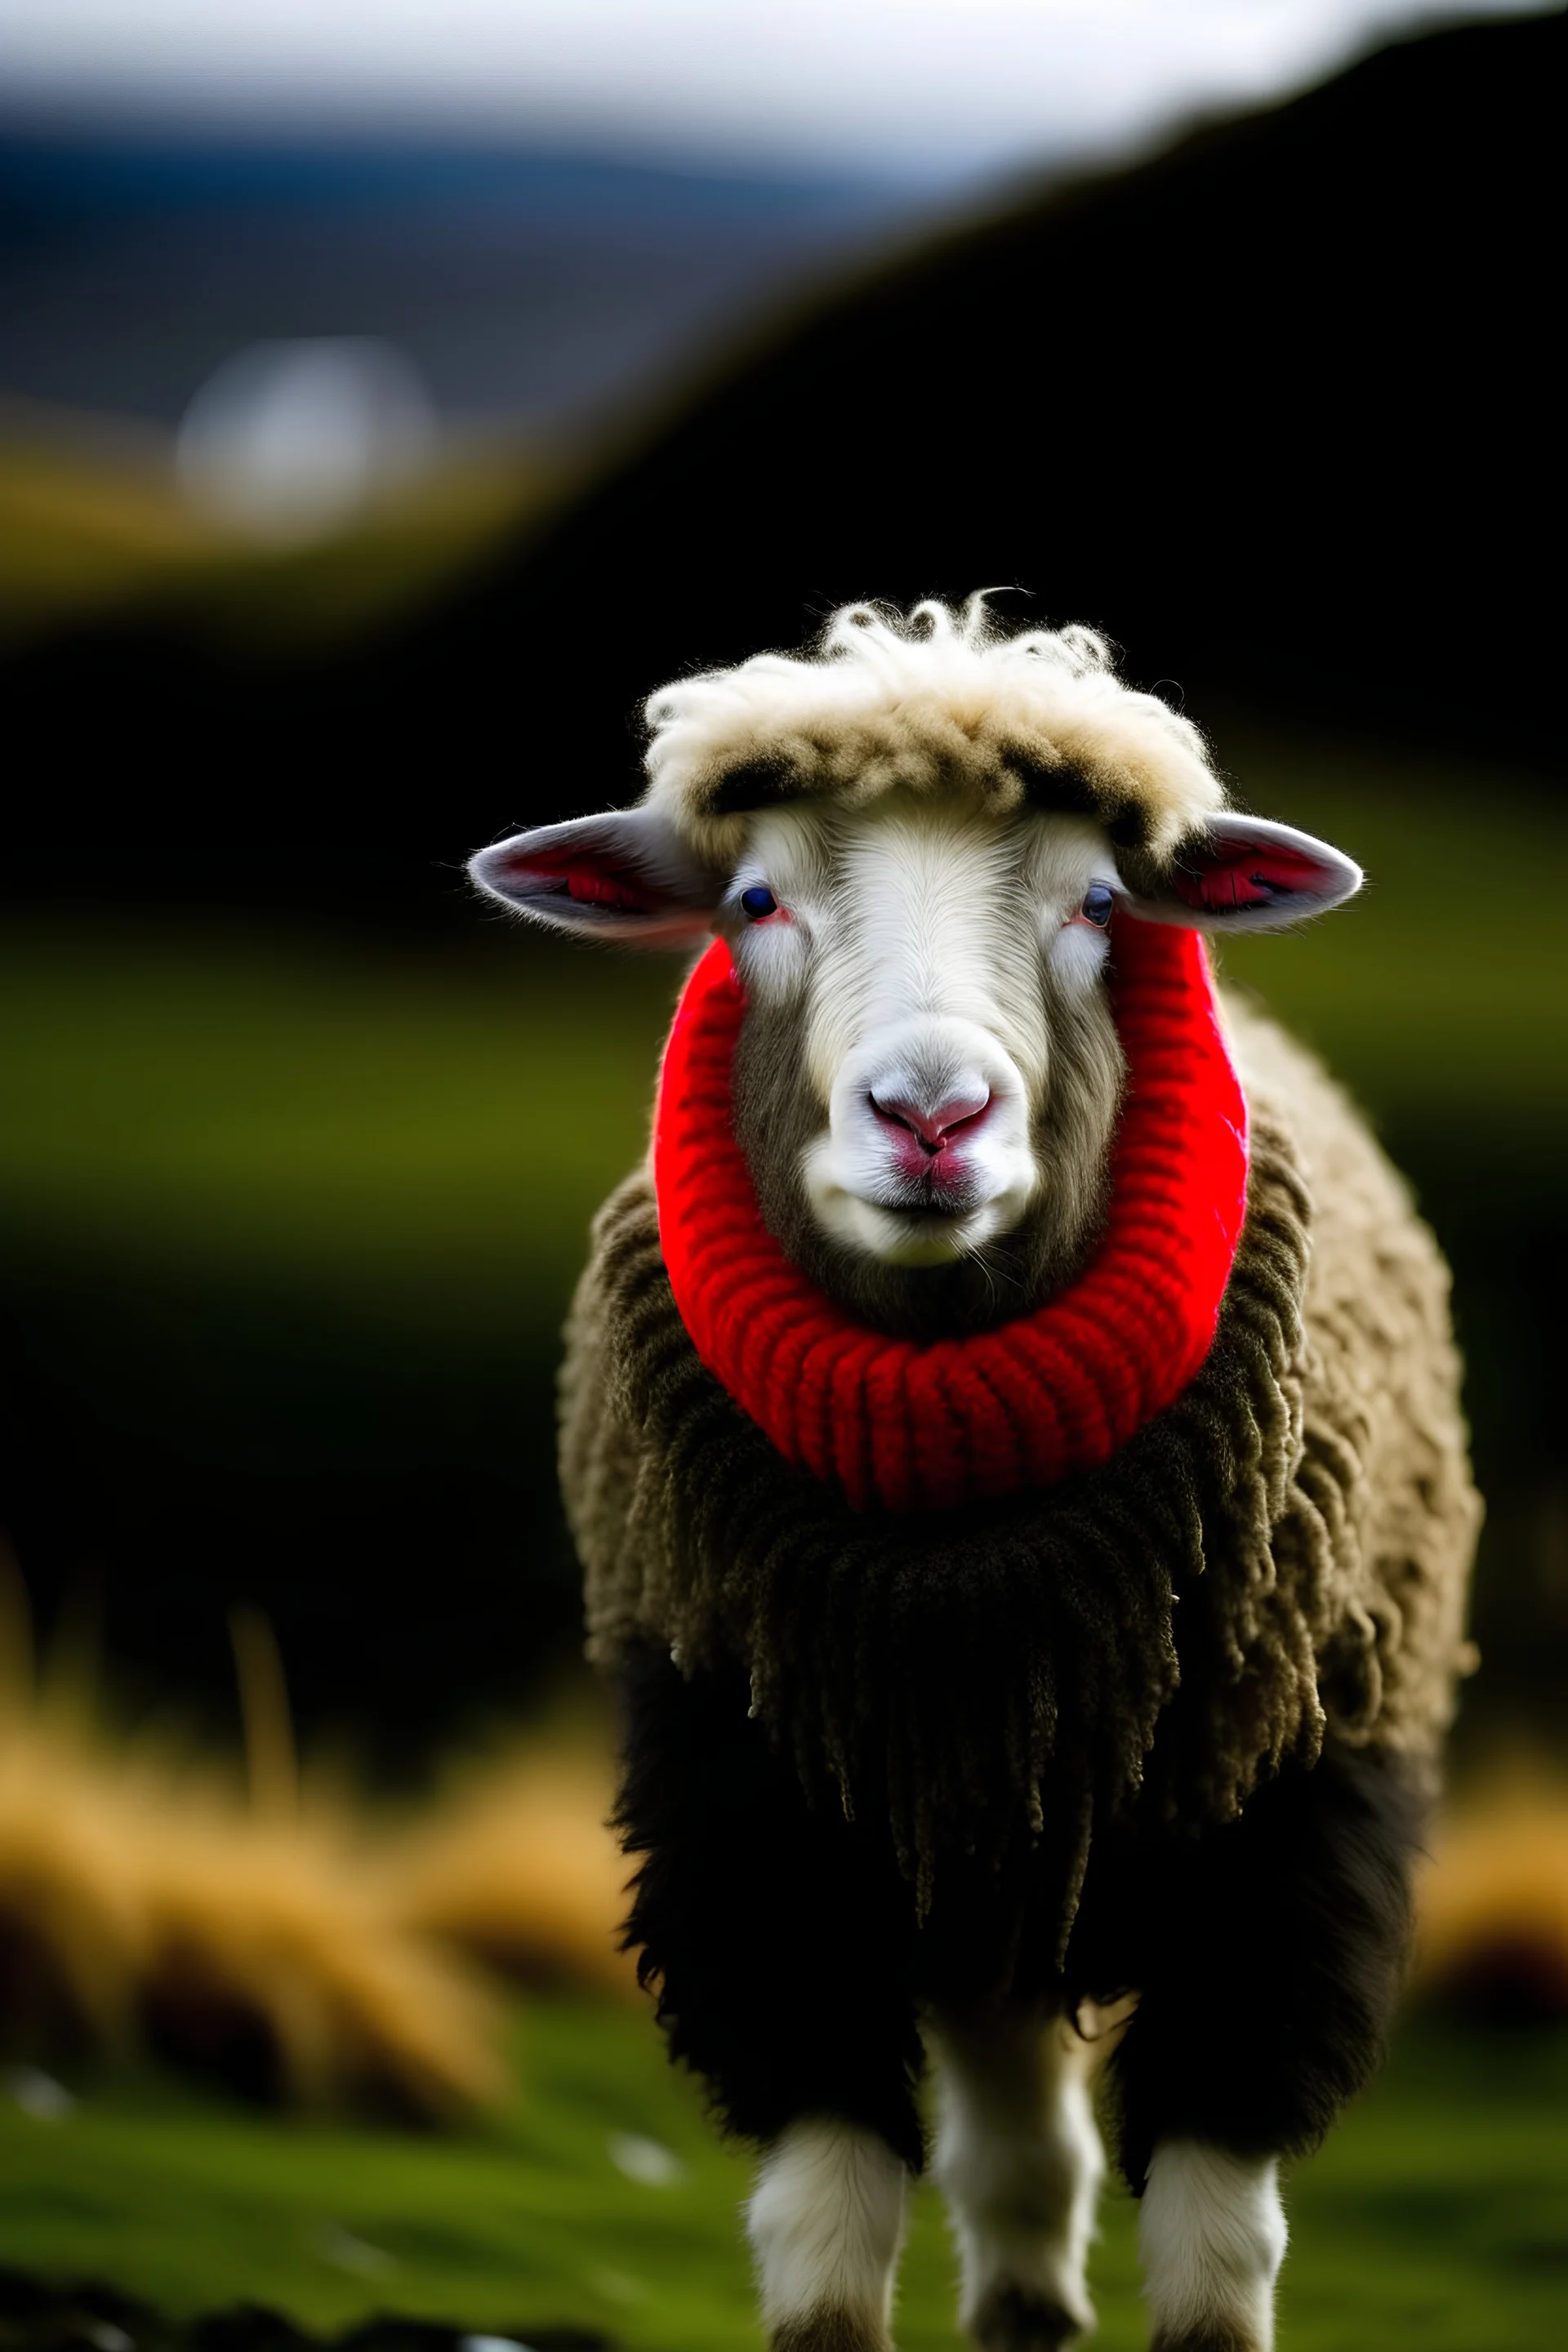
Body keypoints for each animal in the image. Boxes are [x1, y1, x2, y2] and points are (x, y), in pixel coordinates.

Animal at [472, 602, 1476, 2352]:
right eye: (753, 903)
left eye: (1099, 903)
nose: (932, 1116)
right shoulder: (744, 1818)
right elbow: (826, 2232)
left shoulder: (1302, 1824)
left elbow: (1218, 2256)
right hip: (977, 1853)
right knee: (1019, 2152)